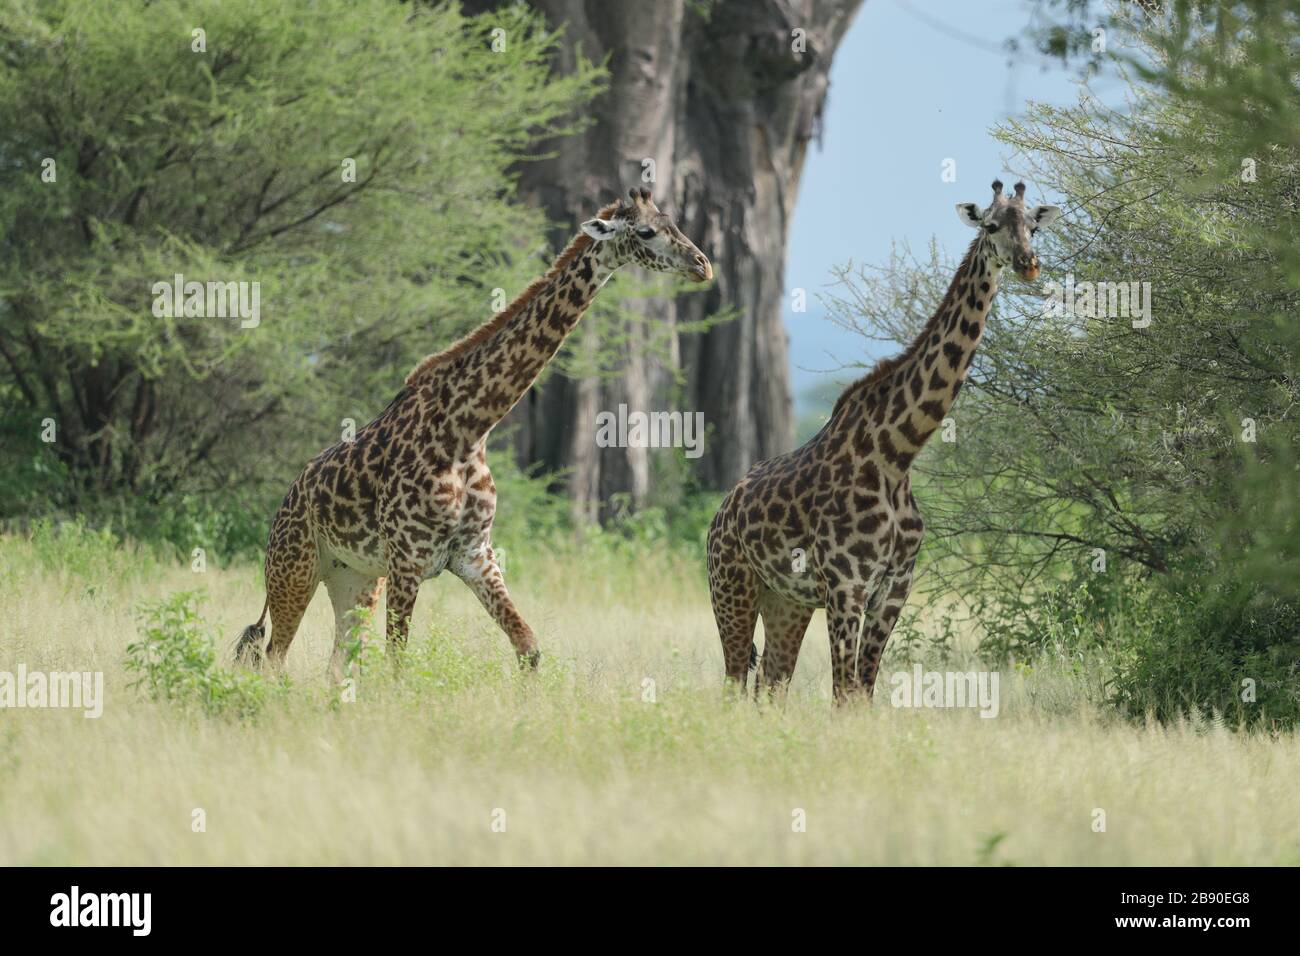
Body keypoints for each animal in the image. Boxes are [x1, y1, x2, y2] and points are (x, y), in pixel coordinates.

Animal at [235, 187, 712, 679]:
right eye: (646, 231)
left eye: (675, 222)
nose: (702, 265)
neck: (466, 429)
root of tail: (287, 501)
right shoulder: (408, 559)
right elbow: (397, 664)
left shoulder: (474, 554)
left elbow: (529, 647)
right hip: (294, 569)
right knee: (273, 659)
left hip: (354, 576)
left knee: (336, 666)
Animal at [707, 180, 1061, 702]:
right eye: (992, 225)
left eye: (1033, 227)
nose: (1028, 264)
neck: (898, 453)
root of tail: (721, 511)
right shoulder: (845, 586)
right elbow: (843, 695)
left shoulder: (894, 589)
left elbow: (861, 695)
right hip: (731, 586)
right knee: (734, 681)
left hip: (786, 601)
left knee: (770, 683)